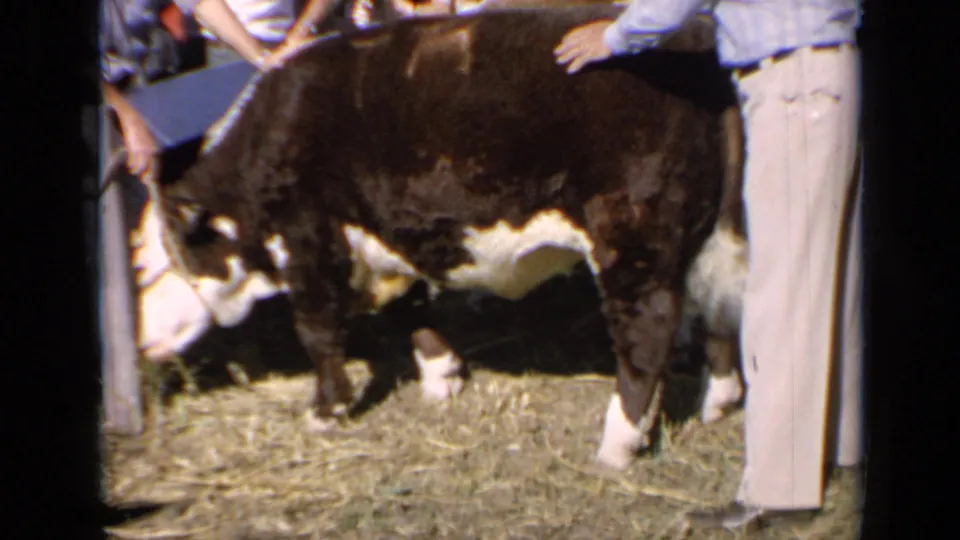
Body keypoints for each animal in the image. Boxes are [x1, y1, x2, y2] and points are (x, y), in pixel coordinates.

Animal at [151, 6, 748, 471]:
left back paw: (617, 445)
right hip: (709, 236)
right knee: (719, 309)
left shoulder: (307, 240)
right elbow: (412, 309)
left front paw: (326, 411)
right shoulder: (392, 234)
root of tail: (695, 38)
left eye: (150, 266)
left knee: (648, 331)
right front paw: (441, 378)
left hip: (632, 239)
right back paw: (719, 400)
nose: (145, 344)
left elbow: (317, 332)